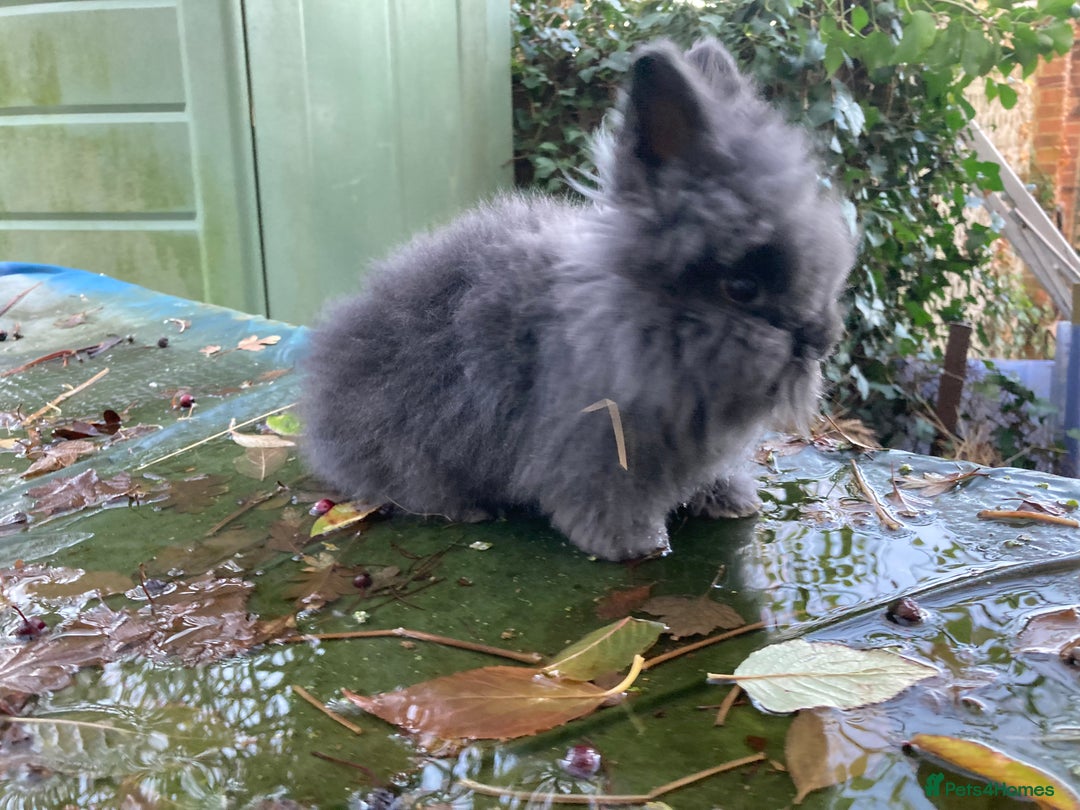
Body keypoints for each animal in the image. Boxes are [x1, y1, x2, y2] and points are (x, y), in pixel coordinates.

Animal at [301, 38, 854, 561]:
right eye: (741, 289)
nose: (821, 340)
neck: (630, 326)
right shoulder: (593, 451)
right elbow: (605, 501)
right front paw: (635, 546)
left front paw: (734, 503)